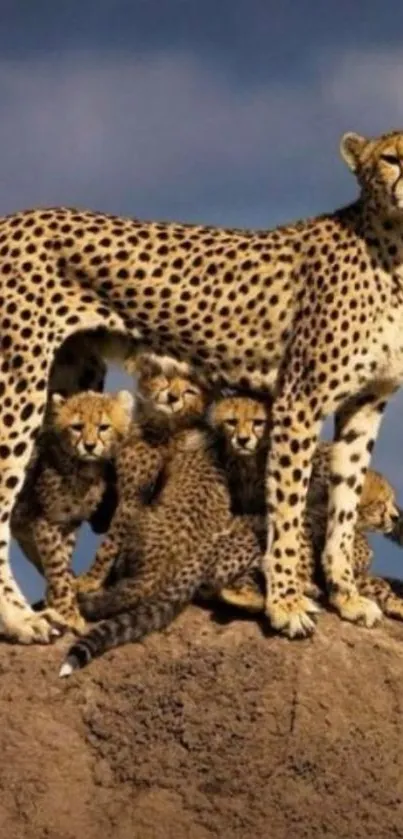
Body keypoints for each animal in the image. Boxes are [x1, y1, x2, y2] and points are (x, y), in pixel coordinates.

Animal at [0, 131, 403, 644]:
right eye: (390, 159)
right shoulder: (299, 401)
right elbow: (288, 510)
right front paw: (286, 603)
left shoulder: (365, 404)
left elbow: (344, 502)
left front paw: (346, 596)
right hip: (20, 382)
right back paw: (20, 619)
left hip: (72, 382)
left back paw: (60, 601)